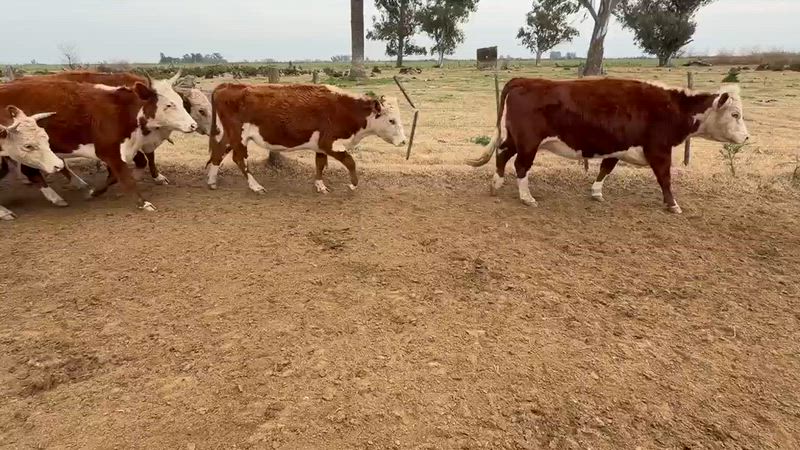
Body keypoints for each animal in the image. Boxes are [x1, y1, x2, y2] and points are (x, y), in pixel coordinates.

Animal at [0, 75, 197, 211]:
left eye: (181, 102)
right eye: (169, 105)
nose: (193, 125)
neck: (121, 111)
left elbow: (116, 176)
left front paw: (93, 192)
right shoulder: (109, 151)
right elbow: (125, 177)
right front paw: (143, 203)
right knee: (31, 171)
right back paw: (56, 197)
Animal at [207, 83, 407, 194]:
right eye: (392, 120)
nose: (404, 141)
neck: (344, 109)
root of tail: (227, 86)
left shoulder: (320, 145)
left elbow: (320, 164)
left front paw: (320, 186)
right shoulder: (330, 143)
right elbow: (350, 162)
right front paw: (352, 185)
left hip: (230, 135)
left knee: (218, 152)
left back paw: (212, 181)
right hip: (238, 136)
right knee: (240, 159)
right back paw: (255, 186)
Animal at [466, 77, 749, 213]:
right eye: (735, 114)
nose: (746, 138)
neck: (671, 107)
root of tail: (525, 80)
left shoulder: (616, 147)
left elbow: (605, 169)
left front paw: (596, 193)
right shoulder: (659, 150)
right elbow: (665, 178)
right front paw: (673, 205)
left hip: (516, 139)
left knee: (502, 156)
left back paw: (496, 184)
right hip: (528, 143)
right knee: (520, 166)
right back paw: (527, 197)